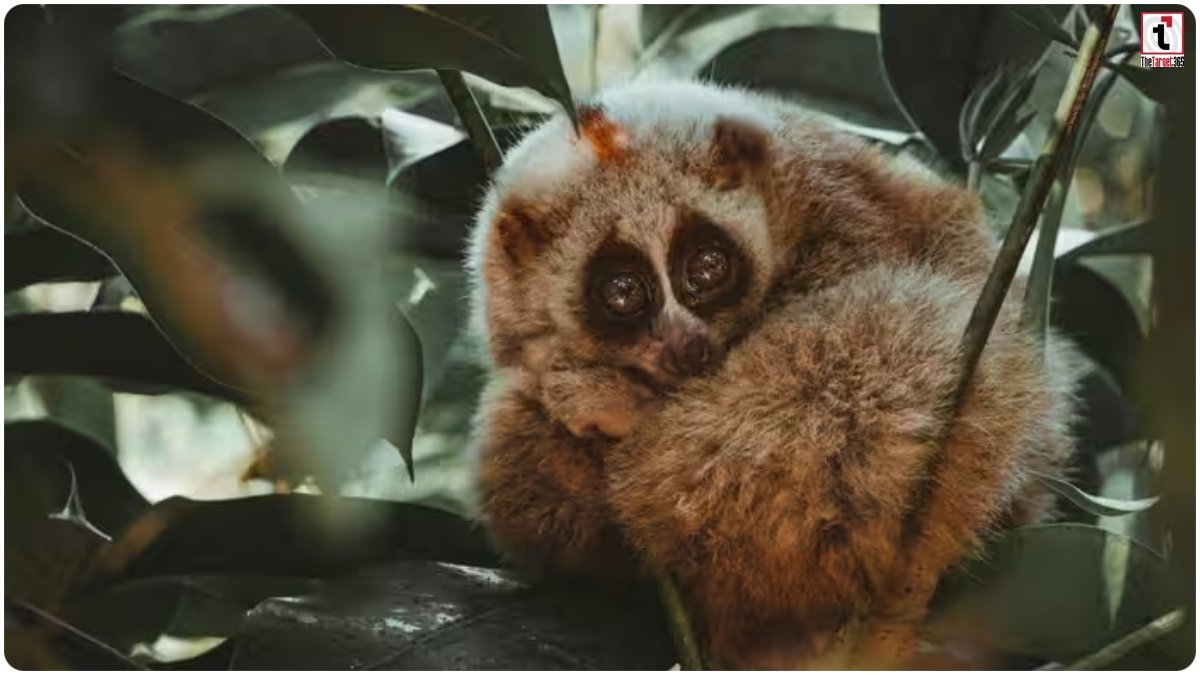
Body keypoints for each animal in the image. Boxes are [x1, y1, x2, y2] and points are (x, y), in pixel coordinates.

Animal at [464, 80, 1081, 666]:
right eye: (622, 293)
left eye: (707, 267)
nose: (686, 346)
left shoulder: (844, 212)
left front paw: (612, 400)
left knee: (901, 336)